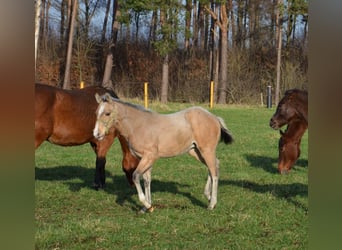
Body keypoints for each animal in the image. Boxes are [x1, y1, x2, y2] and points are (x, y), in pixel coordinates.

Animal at [92, 93, 234, 212]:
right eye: (96, 112)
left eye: (107, 113)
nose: (96, 134)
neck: (138, 126)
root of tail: (214, 117)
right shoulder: (143, 158)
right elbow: (146, 180)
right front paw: (146, 207)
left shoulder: (149, 157)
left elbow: (136, 176)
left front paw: (147, 204)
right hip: (195, 151)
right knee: (214, 166)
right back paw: (208, 196)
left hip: (206, 150)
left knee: (214, 171)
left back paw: (212, 204)